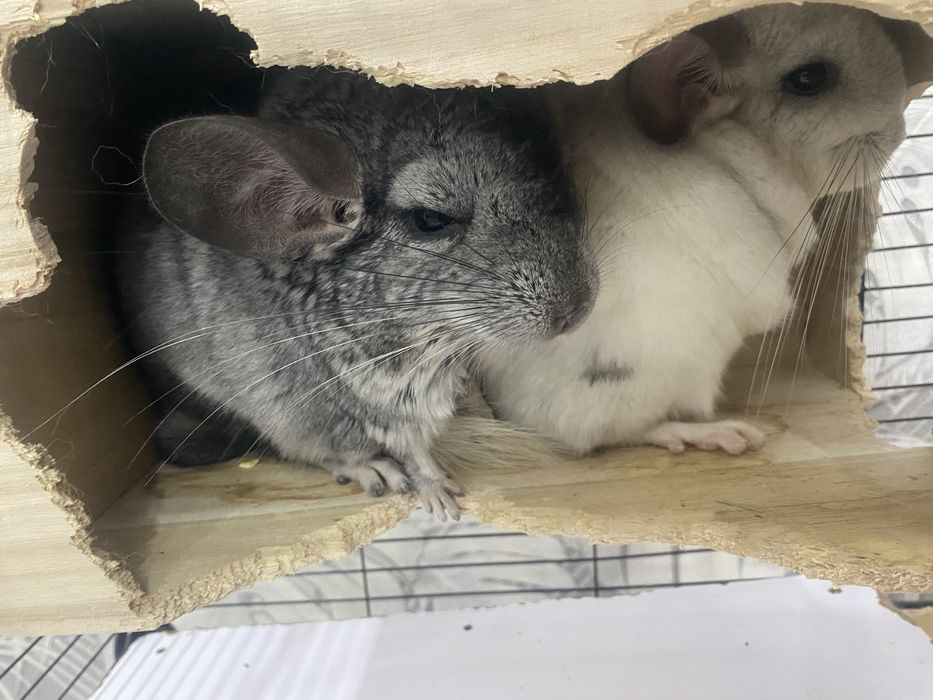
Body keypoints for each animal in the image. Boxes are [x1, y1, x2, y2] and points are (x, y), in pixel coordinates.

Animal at [117, 66, 597, 521]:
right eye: (431, 219)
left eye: (554, 177)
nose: (577, 311)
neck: (426, 338)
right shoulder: (376, 405)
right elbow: (412, 453)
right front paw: (441, 499)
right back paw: (375, 471)